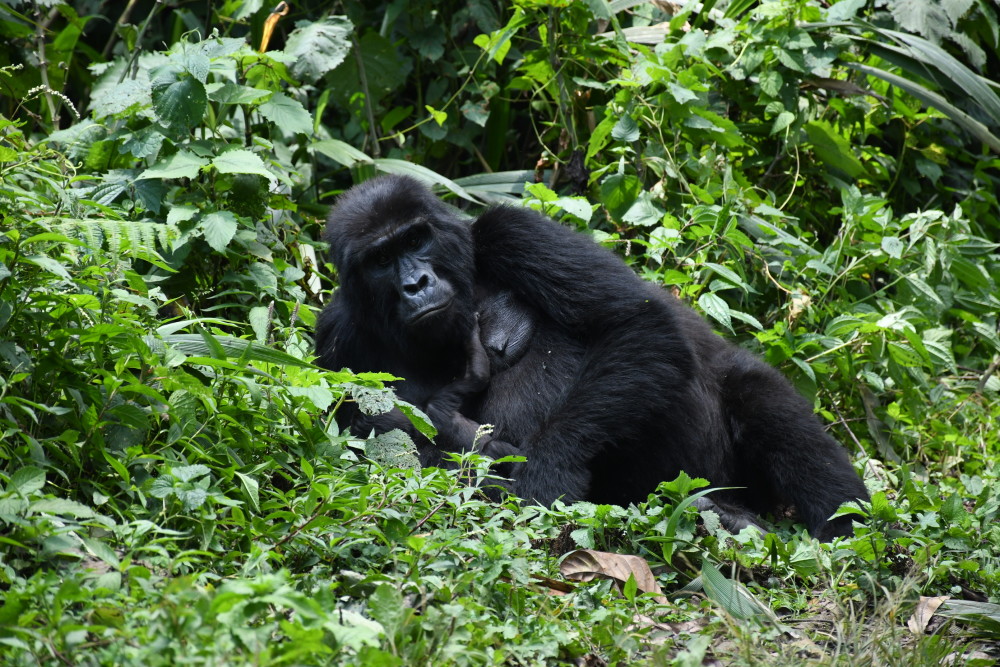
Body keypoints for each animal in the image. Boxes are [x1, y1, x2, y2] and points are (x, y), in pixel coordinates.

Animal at [316, 175, 872, 540]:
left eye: (416, 237)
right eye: (381, 259)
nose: (416, 283)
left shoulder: (511, 229)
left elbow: (638, 326)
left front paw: (547, 474)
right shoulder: (335, 339)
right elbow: (379, 448)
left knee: (760, 400)